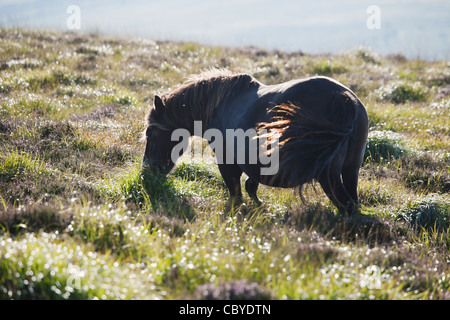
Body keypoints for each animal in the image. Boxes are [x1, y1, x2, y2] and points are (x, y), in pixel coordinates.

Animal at [143, 69, 370, 215]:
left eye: (150, 132)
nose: (147, 171)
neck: (222, 104)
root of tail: (345, 99)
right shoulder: (255, 165)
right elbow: (251, 186)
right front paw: (261, 208)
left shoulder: (228, 162)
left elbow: (236, 192)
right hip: (350, 169)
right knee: (353, 202)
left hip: (328, 175)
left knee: (346, 205)